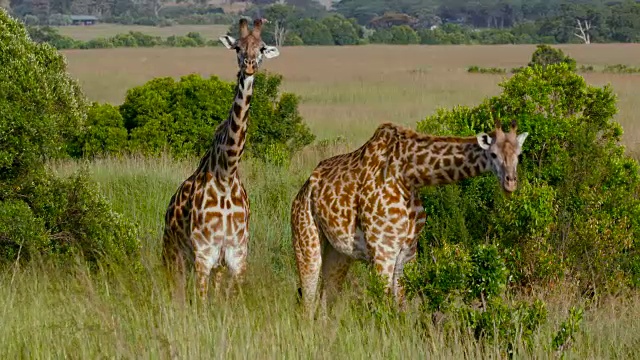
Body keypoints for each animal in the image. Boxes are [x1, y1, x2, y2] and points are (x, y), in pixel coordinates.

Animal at [161, 18, 278, 302]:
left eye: (262, 47)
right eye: (237, 47)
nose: (249, 65)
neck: (226, 173)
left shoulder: (236, 254)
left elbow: (231, 300)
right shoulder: (204, 253)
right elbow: (201, 301)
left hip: (212, 263)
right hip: (173, 252)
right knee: (176, 288)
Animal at [292, 116, 528, 314]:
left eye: (519, 155)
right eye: (493, 154)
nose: (510, 183)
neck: (408, 176)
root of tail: (303, 190)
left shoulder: (408, 250)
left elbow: (401, 304)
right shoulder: (383, 250)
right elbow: (383, 304)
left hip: (339, 253)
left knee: (324, 301)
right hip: (305, 238)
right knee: (308, 300)